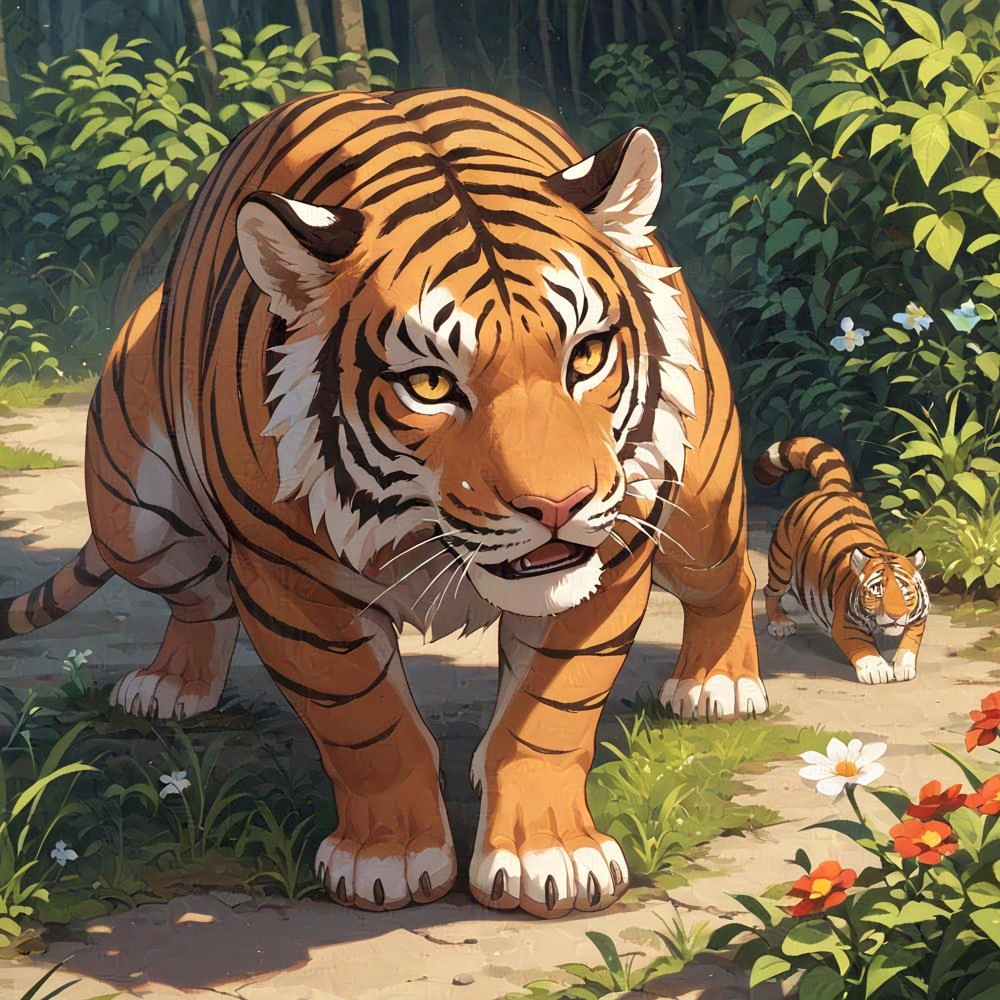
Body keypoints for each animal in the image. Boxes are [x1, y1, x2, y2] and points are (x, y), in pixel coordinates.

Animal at [0, 88, 765, 918]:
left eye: (587, 356)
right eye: (430, 384)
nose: (560, 504)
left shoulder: (613, 559)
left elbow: (547, 715)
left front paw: (549, 857)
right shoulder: (290, 582)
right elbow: (367, 723)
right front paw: (390, 860)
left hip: (701, 502)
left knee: (728, 579)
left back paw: (718, 687)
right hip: (135, 520)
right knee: (199, 598)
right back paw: (172, 686)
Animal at [754, 436, 928, 684]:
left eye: (905, 591)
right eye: (877, 591)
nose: (896, 615)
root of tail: (834, 487)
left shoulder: (919, 617)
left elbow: (910, 642)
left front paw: (903, 667)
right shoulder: (845, 623)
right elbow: (862, 647)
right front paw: (876, 670)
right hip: (782, 563)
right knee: (771, 591)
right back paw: (780, 623)